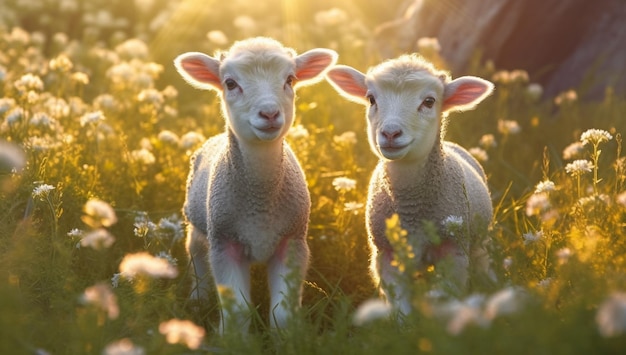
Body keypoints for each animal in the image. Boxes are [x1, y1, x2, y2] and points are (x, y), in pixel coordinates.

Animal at [173, 36, 338, 330]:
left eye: (290, 79)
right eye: (230, 83)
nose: (270, 114)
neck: (260, 201)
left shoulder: (292, 241)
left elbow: (282, 313)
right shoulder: (224, 242)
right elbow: (237, 311)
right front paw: (231, 336)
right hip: (198, 225)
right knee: (196, 256)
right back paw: (198, 298)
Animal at [326, 54, 492, 316]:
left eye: (429, 101)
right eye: (371, 98)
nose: (390, 133)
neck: (412, 207)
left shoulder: (454, 252)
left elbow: (448, 296)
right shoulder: (387, 255)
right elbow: (400, 305)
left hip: (479, 239)